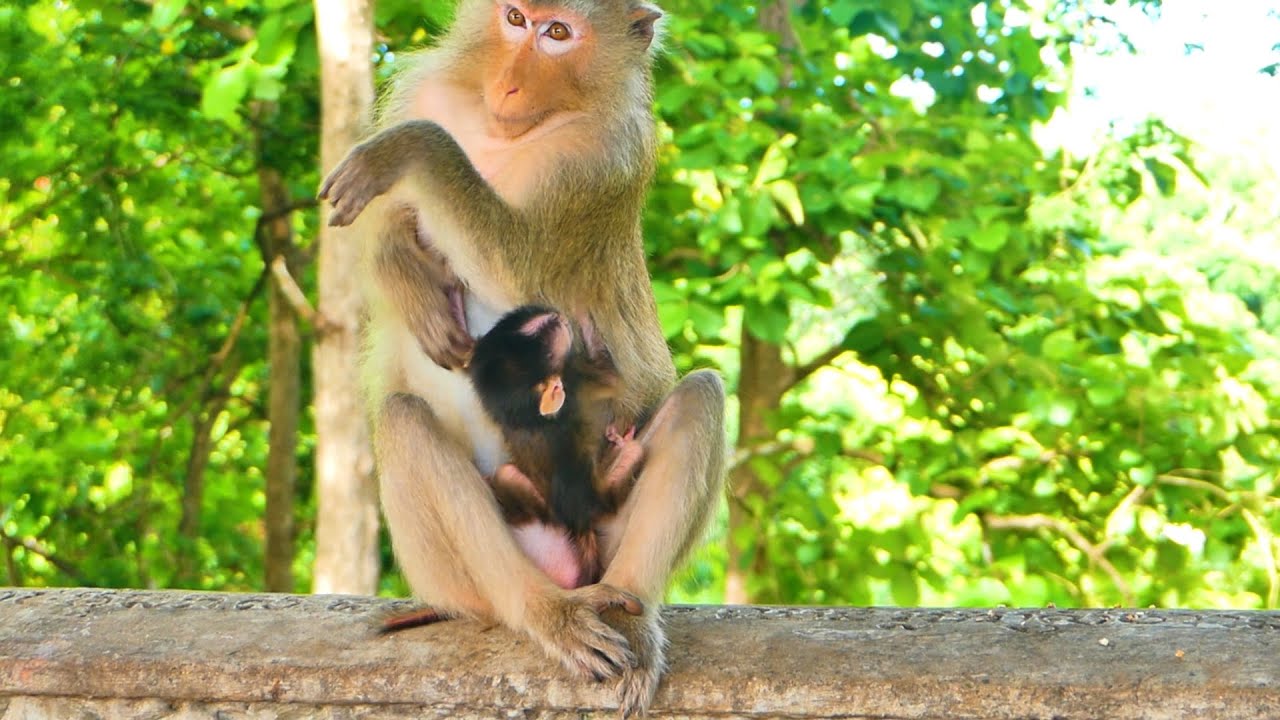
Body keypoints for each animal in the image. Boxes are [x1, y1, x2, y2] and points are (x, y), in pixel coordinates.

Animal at [319, 2, 726, 715]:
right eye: (515, 17)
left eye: (558, 33)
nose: (508, 85)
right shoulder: (428, 88)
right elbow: (385, 232)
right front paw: (407, 276)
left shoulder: (600, 159)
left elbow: (524, 273)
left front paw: (415, 150)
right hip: (461, 574)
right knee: (405, 420)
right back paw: (538, 611)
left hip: (604, 527)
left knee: (702, 394)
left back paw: (621, 613)